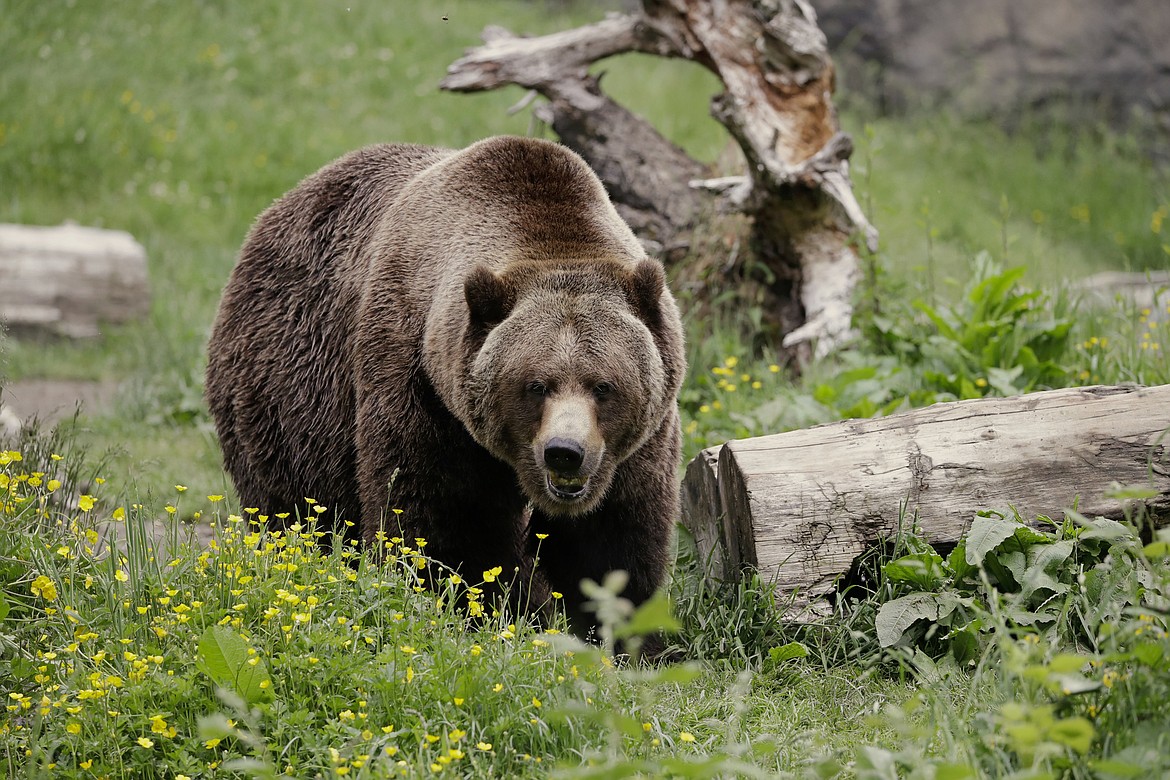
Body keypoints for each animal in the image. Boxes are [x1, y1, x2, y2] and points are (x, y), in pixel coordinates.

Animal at [205, 135, 683, 636]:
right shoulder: (421, 385)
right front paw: (489, 610)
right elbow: (443, 521)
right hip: (289, 391)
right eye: (536, 385)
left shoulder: (638, 442)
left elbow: (612, 541)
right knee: (295, 507)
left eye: (603, 385)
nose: (564, 452)